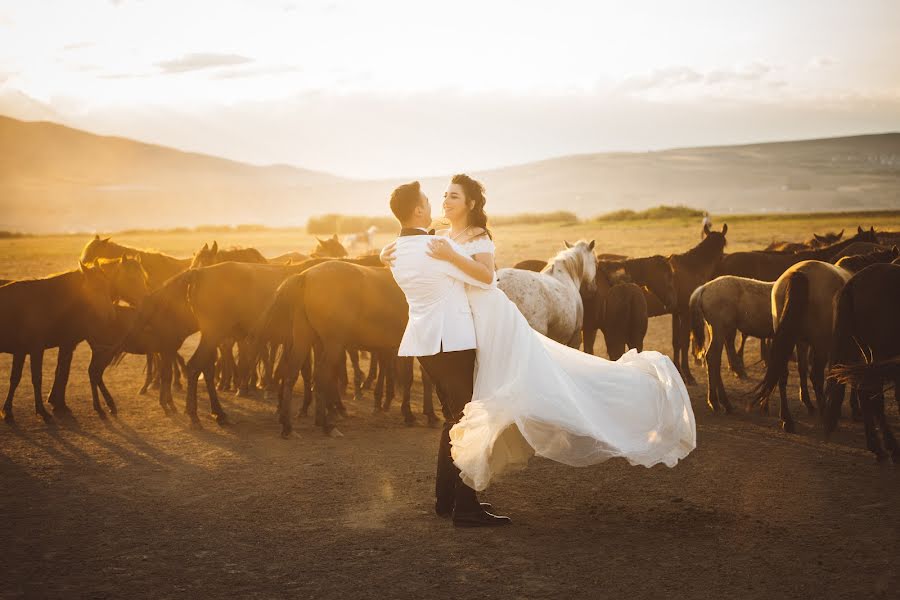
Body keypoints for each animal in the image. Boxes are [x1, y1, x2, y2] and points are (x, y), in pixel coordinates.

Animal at [0, 264, 115, 424]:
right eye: (96, 288)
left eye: (108, 286)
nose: (111, 316)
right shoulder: (36, 349)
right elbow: (37, 378)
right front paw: (42, 411)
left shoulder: (23, 351)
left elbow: (17, 378)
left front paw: (8, 410)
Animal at [824, 262, 900, 460]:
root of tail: (852, 283)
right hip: (879, 352)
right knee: (873, 393)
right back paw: (890, 446)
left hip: (867, 352)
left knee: (865, 391)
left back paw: (877, 446)